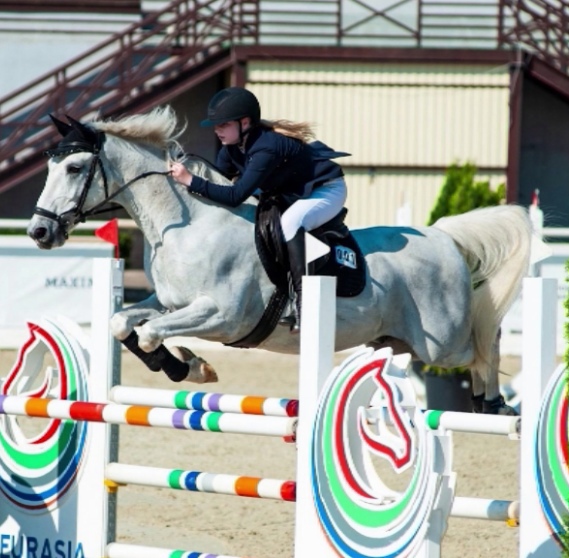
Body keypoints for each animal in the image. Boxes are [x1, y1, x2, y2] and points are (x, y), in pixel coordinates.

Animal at [27, 108, 532, 416]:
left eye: (74, 168)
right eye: (49, 167)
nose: (39, 232)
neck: (186, 224)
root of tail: (443, 236)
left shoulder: (222, 316)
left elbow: (150, 333)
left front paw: (189, 366)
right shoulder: (171, 304)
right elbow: (124, 323)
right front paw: (189, 367)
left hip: (441, 342)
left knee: (483, 344)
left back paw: (495, 405)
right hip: (398, 340)